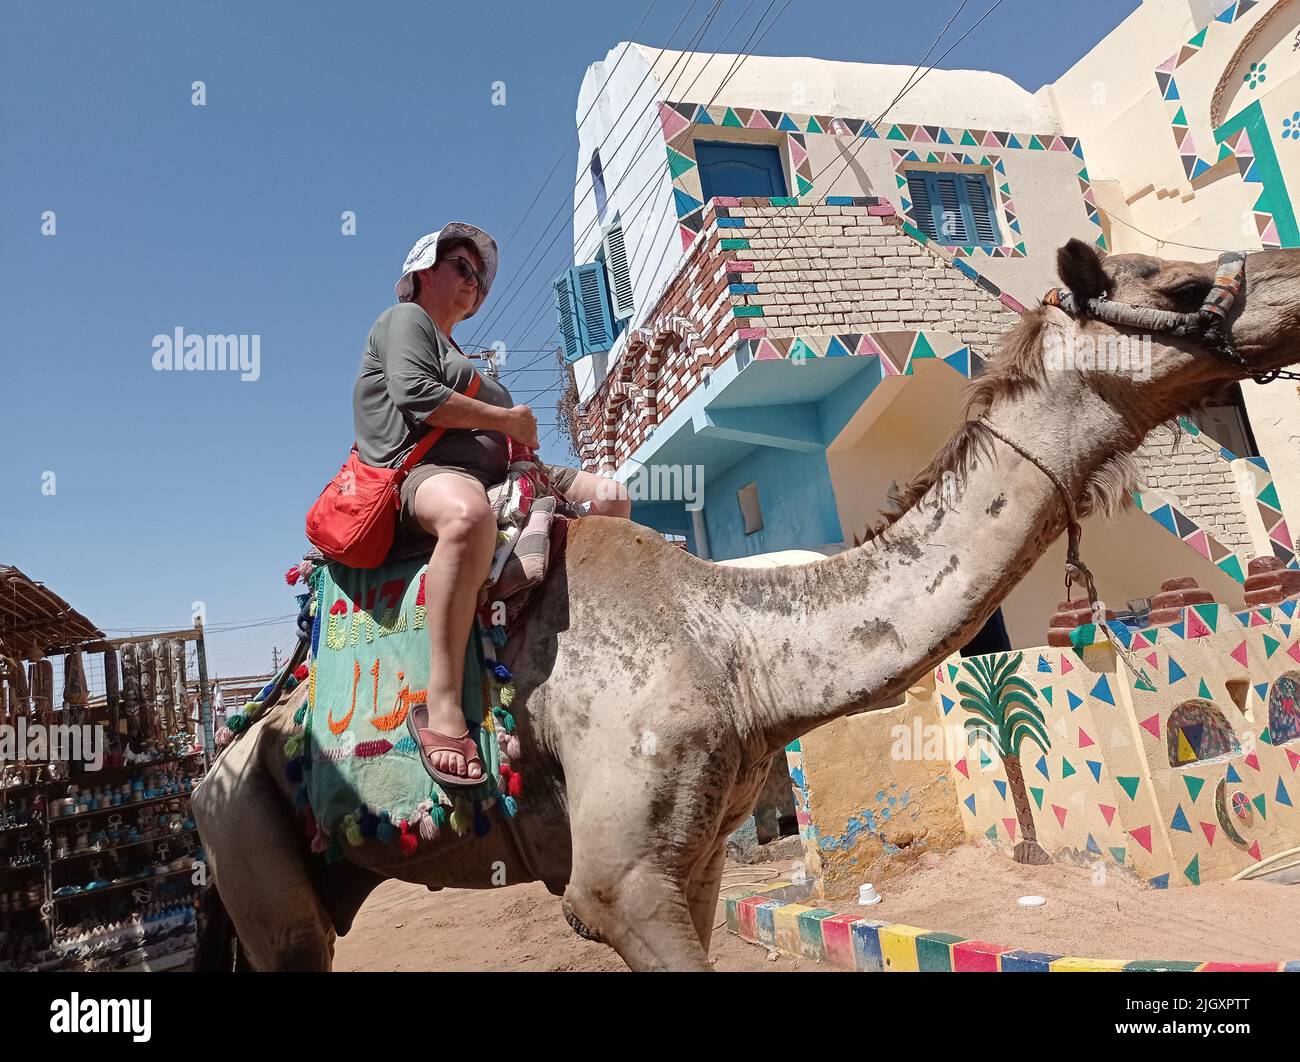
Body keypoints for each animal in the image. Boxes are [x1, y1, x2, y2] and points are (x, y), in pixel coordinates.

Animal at [189, 237, 1300, 967]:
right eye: (1182, 283)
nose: (1286, 271)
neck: (738, 646)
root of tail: (216, 761)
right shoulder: (617, 886)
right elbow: (608, 898)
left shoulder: (698, 862)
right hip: (246, 840)